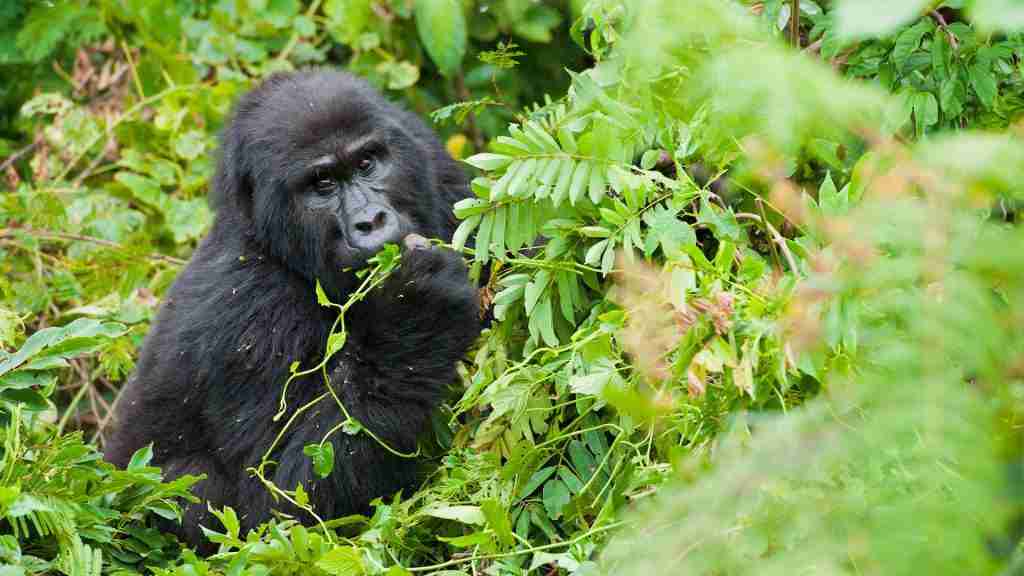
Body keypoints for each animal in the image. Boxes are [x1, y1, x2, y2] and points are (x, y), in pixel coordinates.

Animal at [105, 68, 481, 545]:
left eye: (367, 162)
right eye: (322, 184)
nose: (371, 221)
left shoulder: (434, 166)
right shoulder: (251, 316)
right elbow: (278, 511)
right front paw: (416, 315)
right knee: (188, 482)